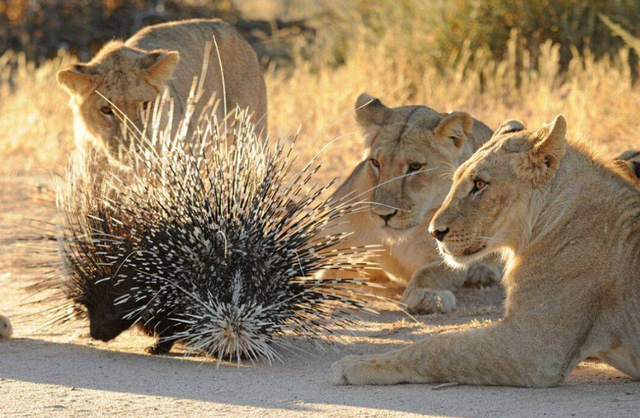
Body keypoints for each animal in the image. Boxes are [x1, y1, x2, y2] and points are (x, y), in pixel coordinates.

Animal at [328, 92, 502, 314]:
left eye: (415, 166)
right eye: (376, 163)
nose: (384, 215)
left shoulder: (447, 251)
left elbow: (431, 273)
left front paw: (428, 297)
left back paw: (482, 272)